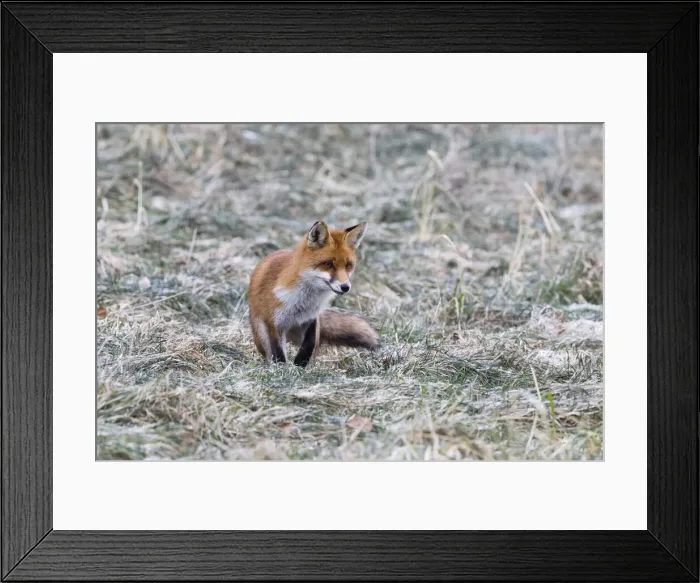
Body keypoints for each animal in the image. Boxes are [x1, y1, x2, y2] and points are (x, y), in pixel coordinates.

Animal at [247, 220, 379, 367]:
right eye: (328, 264)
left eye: (348, 265)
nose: (345, 287)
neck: (303, 301)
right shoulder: (273, 322)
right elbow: (278, 352)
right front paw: (283, 368)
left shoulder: (311, 318)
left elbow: (309, 344)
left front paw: (300, 364)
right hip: (260, 332)